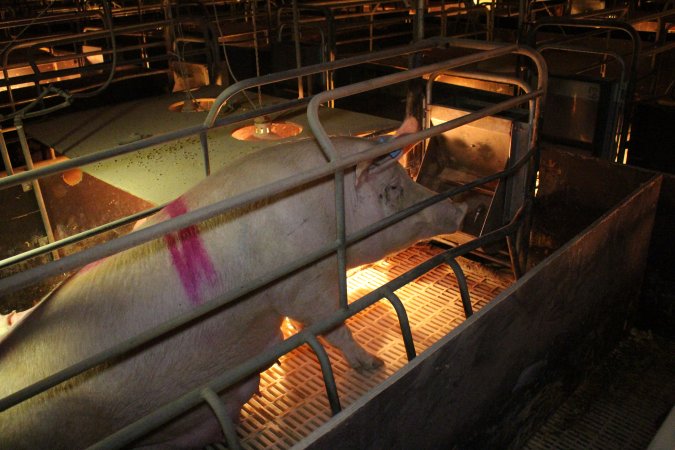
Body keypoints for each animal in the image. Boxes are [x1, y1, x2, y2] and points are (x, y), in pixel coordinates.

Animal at [0, 117, 464, 450]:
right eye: (393, 188)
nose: (459, 209)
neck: (324, 202)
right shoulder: (303, 286)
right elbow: (331, 325)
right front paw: (374, 365)